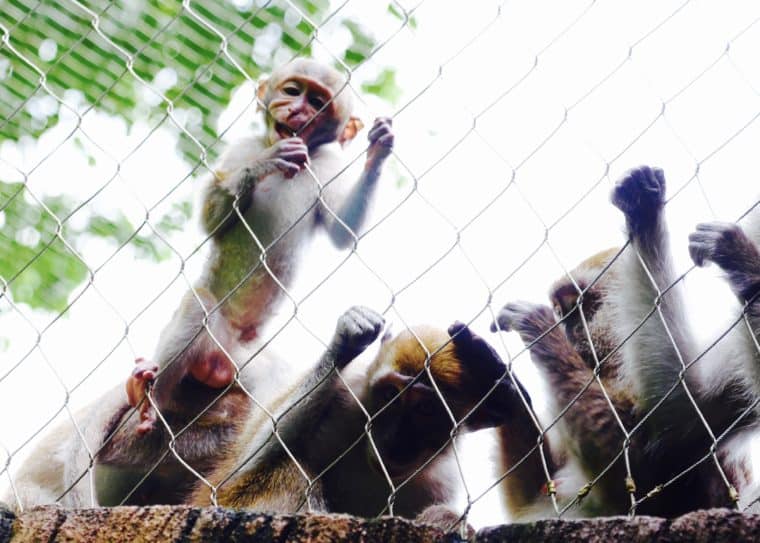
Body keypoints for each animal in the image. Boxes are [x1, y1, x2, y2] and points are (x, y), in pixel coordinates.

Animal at [5, 57, 394, 512]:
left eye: (317, 101)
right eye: (292, 90)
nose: (295, 111)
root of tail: (223, 357)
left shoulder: (329, 166)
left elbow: (342, 231)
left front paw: (378, 150)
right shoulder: (243, 146)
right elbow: (215, 214)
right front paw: (261, 167)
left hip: (251, 363)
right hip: (211, 330)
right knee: (198, 310)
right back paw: (144, 398)